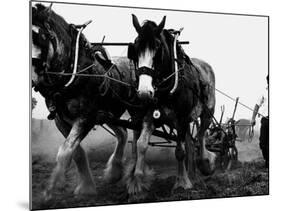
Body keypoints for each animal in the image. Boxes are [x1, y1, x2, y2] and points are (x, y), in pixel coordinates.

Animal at [31, 4, 143, 200]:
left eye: (41, 37)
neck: (75, 72)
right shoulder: (61, 120)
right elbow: (76, 152)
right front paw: (86, 187)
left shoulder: (86, 117)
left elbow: (65, 152)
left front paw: (51, 189)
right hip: (108, 113)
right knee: (122, 133)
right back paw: (114, 172)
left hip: (133, 111)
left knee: (136, 140)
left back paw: (133, 179)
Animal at [125, 14, 217, 199]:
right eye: (135, 48)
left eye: (158, 48)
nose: (144, 92)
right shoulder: (150, 117)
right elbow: (141, 145)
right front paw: (138, 183)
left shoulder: (181, 118)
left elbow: (180, 152)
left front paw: (182, 183)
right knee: (191, 143)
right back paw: (194, 175)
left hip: (207, 112)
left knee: (201, 136)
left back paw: (205, 162)